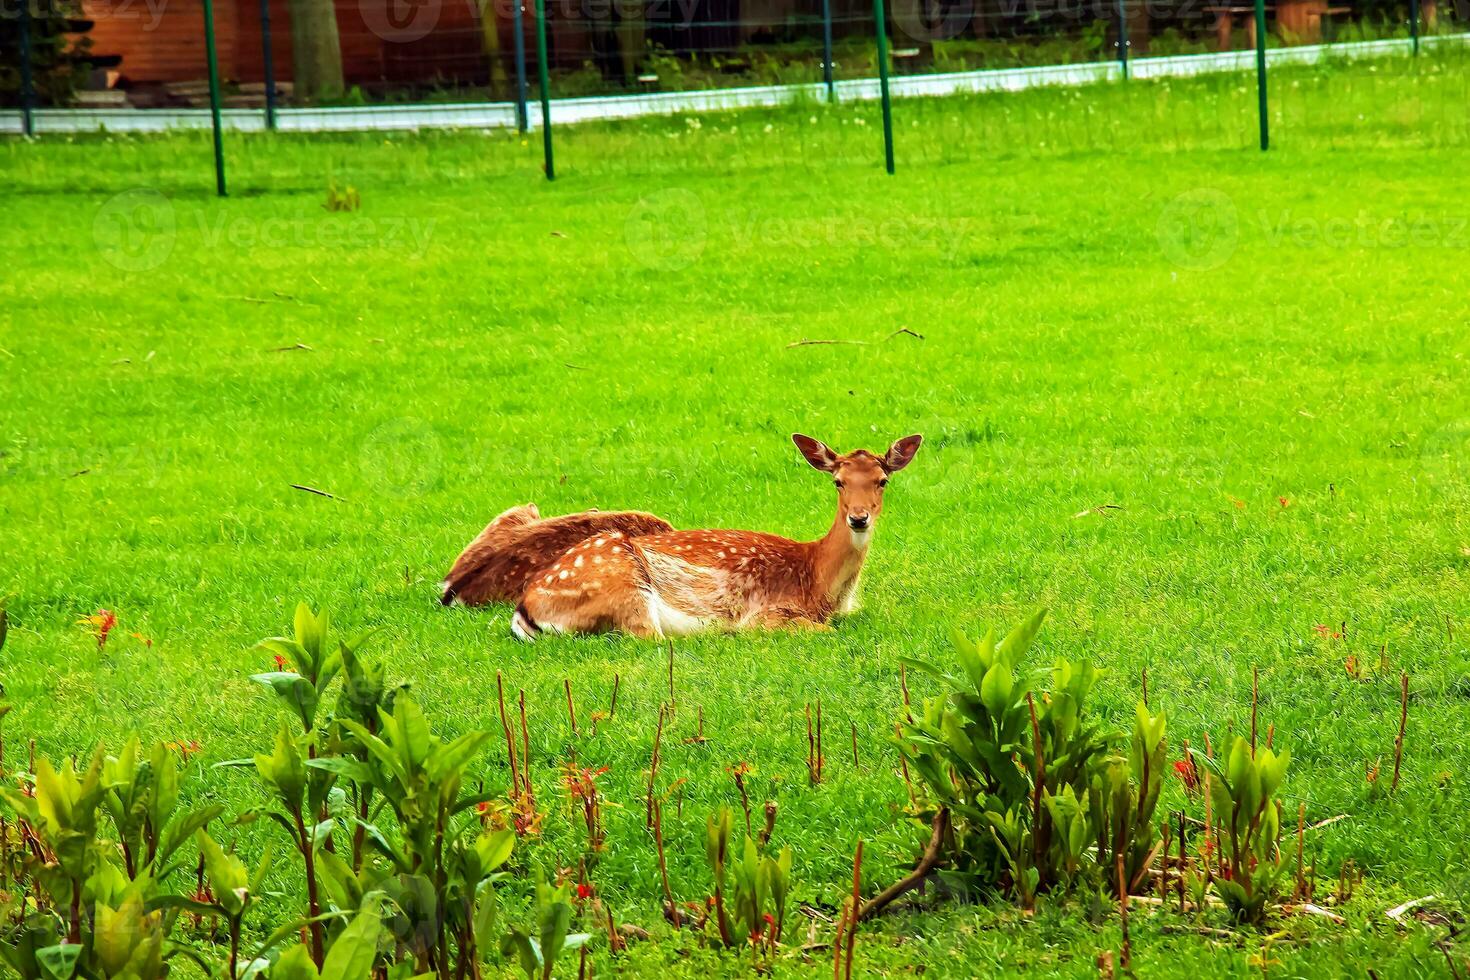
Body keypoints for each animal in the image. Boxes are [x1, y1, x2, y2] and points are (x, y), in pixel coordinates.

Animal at [505, 434, 917, 643]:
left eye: (882, 480)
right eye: (838, 482)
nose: (858, 518)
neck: (819, 585)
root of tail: (525, 607)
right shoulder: (767, 612)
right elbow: (820, 629)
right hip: (622, 587)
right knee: (650, 637)